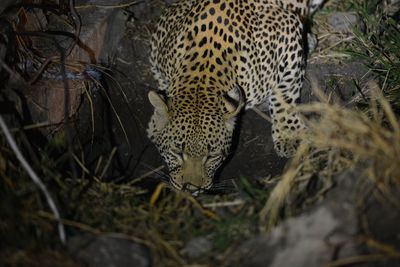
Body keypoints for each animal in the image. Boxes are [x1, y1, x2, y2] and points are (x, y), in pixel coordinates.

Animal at [147, 0, 324, 194]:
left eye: (212, 156)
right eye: (177, 153)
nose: (191, 189)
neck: (204, 70)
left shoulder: (288, 35)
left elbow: (286, 91)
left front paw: (290, 135)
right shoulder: (158, 44)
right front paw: (155, 124)